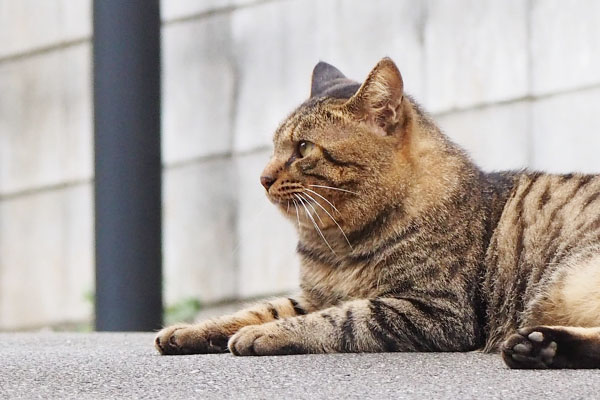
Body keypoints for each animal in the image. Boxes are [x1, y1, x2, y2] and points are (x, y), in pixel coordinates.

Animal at [156, 57, 600, 368]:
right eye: (274, 147)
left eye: (302, 148)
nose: (262, 178)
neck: (337, 241)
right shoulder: (313, 296)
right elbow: (258, 308)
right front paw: (191, 330)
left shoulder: (433, 309)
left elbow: (341, 318)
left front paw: (265, 334)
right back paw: (537, 346)